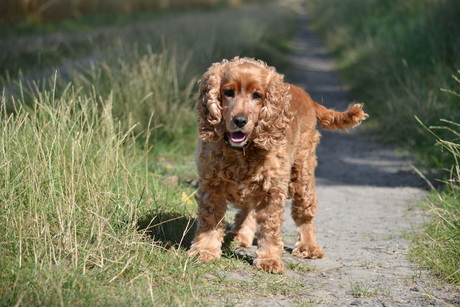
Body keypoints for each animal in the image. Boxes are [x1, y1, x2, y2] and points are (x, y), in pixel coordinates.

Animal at [187, 57, 366, 274]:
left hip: (302, 174)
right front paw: (204, 251)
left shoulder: (272, 188)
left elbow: (270, 228)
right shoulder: (212, 183)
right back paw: (241, 235)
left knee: (305, 214)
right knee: (248, 208)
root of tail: (307, 96)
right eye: (228, 92)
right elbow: (210, 220)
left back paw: (308, 246)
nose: (240, 120)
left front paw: (269, 259)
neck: (242, 151)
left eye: (257, 95)